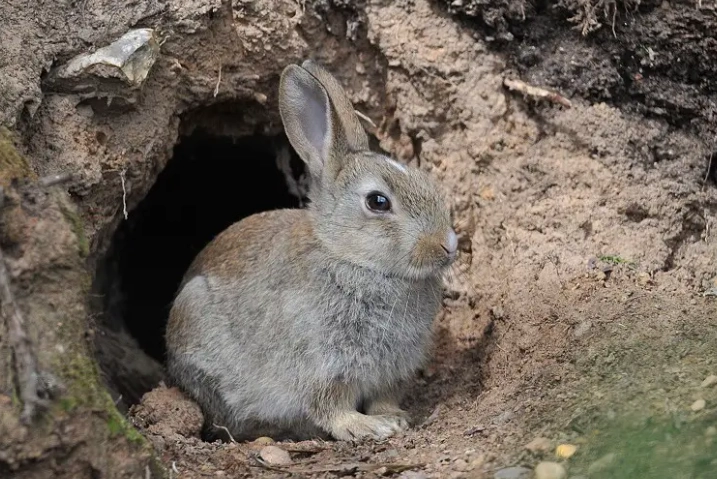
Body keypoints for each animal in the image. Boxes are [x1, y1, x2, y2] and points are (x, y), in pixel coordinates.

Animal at [165, 59, 458, 442]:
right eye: (377, 202)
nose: (448, 244)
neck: (348, 257)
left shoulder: (392, 371)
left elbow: (384, 397)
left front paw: (393, 417)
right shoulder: (324, 364)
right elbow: (331, 406)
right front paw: (367, 426)